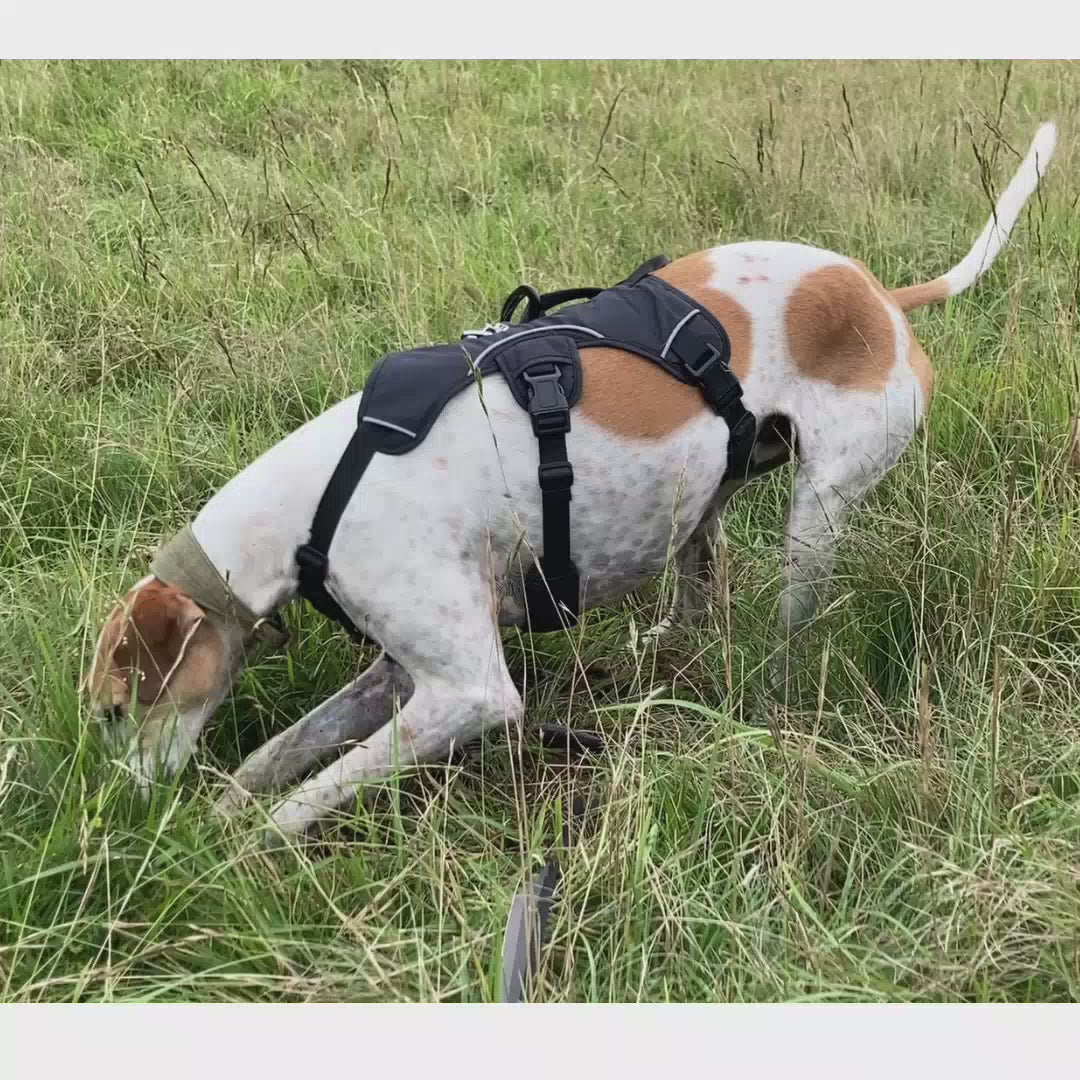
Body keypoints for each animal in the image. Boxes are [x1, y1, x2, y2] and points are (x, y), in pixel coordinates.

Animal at [88, 120, 1058, 842]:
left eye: (115, 709)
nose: (119, 811)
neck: (319, 501)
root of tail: (883, 296)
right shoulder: (399, 679)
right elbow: (277, 758)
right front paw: (218, 816)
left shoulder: (469, 693)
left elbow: (307, 794)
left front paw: (239, 852)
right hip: (709, 497)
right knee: (700, 594)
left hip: (814, 516)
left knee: (788, 622)